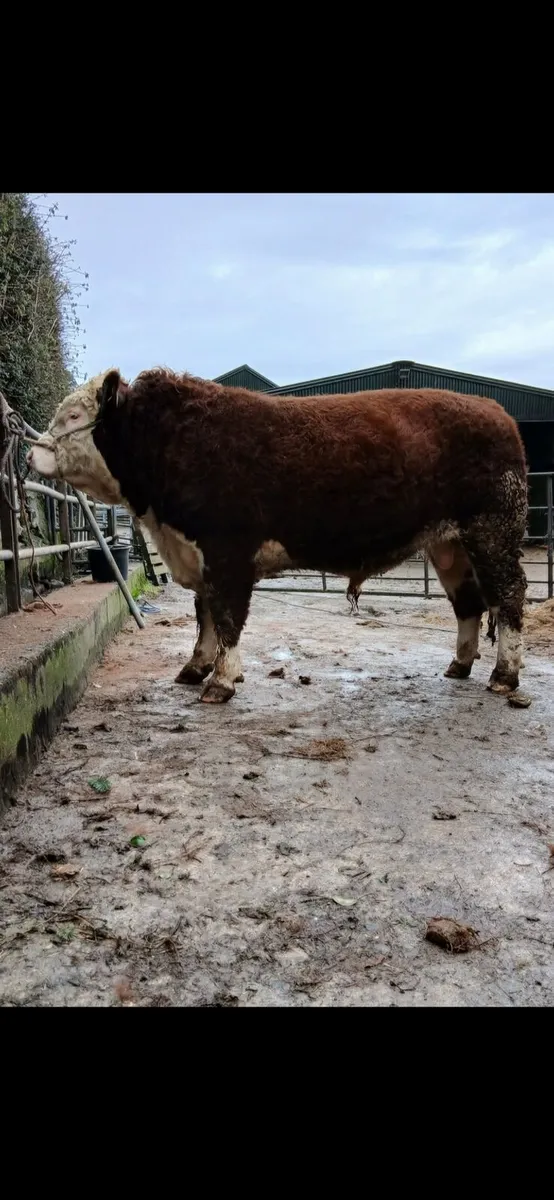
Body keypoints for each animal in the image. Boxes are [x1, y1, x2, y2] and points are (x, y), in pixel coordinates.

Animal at [27, 368, 528, 704]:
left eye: (73, 414)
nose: (32, 453)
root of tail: (496, 411)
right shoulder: (199, 554)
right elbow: (205, 614)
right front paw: (196, 666)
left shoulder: (227, 552)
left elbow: (227, 616)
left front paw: (221, 681)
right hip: (449, 545)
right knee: (469, 602)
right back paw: (460, 665)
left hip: (493, 531)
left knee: (510, 595)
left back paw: (504, 676)